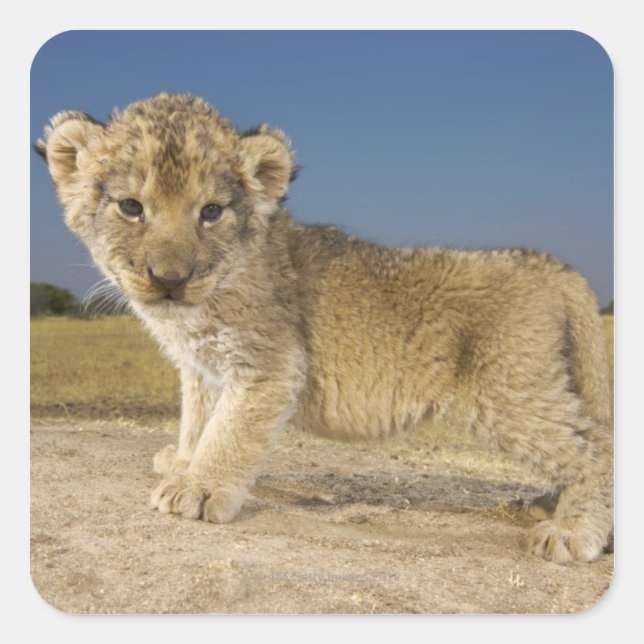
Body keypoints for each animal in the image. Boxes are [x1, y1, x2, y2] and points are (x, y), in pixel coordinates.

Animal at [36, 93, 613, 564]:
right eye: (131, 207)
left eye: (212, 212)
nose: (170, 279)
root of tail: (550, 264)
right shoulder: (201, 369)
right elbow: (196, 421)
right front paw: (181, 462)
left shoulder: (270, 366)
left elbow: (227, 433)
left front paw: (197, 487)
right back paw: (547, 505)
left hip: (510, 392)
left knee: (595, 445)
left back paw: (573, 531)